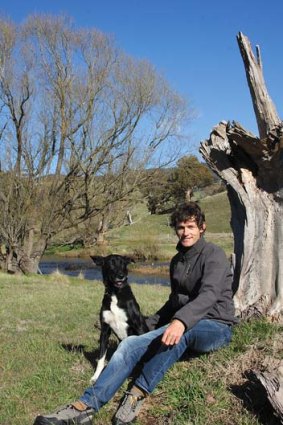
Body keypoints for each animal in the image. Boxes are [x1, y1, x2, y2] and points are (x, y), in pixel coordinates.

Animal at [90, 253, 149, 382]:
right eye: (110, 263)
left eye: (123, 263)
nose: (121, 276)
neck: (115, 293)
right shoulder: (105, 331)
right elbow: (101, 358)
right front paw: (96, 376)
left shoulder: (139, 325)